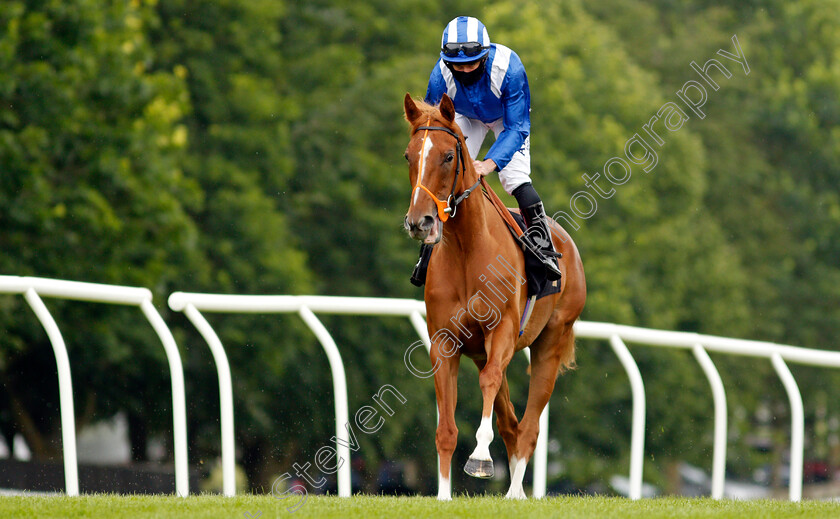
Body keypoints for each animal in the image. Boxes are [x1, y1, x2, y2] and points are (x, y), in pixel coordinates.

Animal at [404, 93, 588, 500]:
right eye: (409, 155)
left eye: (448, 156)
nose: (420, 222)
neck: (466, 248)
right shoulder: (445, 341)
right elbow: (447, 427)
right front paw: (443, 494)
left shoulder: (502, 330)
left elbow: (488, 384)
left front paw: (480, 459)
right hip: (481, 350)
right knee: (512, 422)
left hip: (550, 342)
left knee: (530, 426)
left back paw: (514, 491)